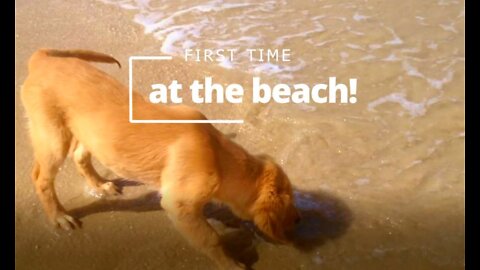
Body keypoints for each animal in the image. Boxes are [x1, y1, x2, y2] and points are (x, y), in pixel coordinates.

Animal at [21, 49, 300, 270]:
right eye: (289, 203)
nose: (299, 220)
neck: (218, 155)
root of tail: (42, 58)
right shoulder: (178, 205)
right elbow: (211, 239)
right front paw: (230, 264)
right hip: (53, 137)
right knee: (41, 178)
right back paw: (59, 216)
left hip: (87, 133)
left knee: (79, 157)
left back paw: (100, 185)